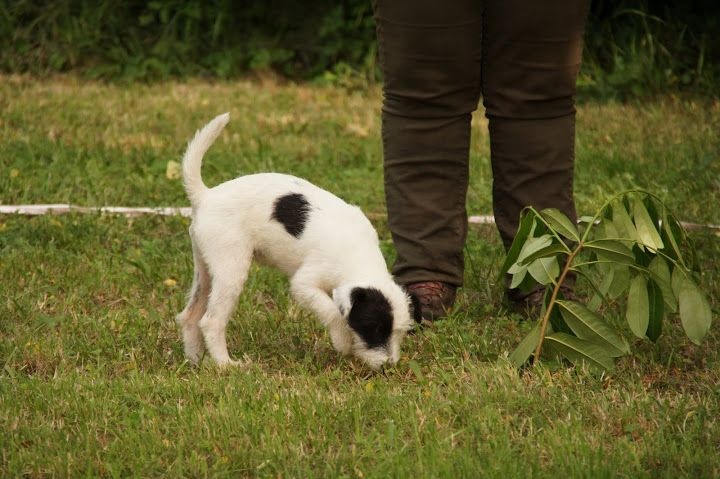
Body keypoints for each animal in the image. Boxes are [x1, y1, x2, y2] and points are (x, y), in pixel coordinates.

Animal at [176, 113, 422, 372]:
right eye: (373, 328)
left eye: (400, 333)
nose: (388, 366)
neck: (357, 256)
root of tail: (206, 196)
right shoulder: (305, 284)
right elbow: (333, 312)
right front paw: (343, 341)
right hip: (230, 268)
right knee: (211, 321)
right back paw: (227, 364)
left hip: (205, 267)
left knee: (190, 315)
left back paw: (195, 361)